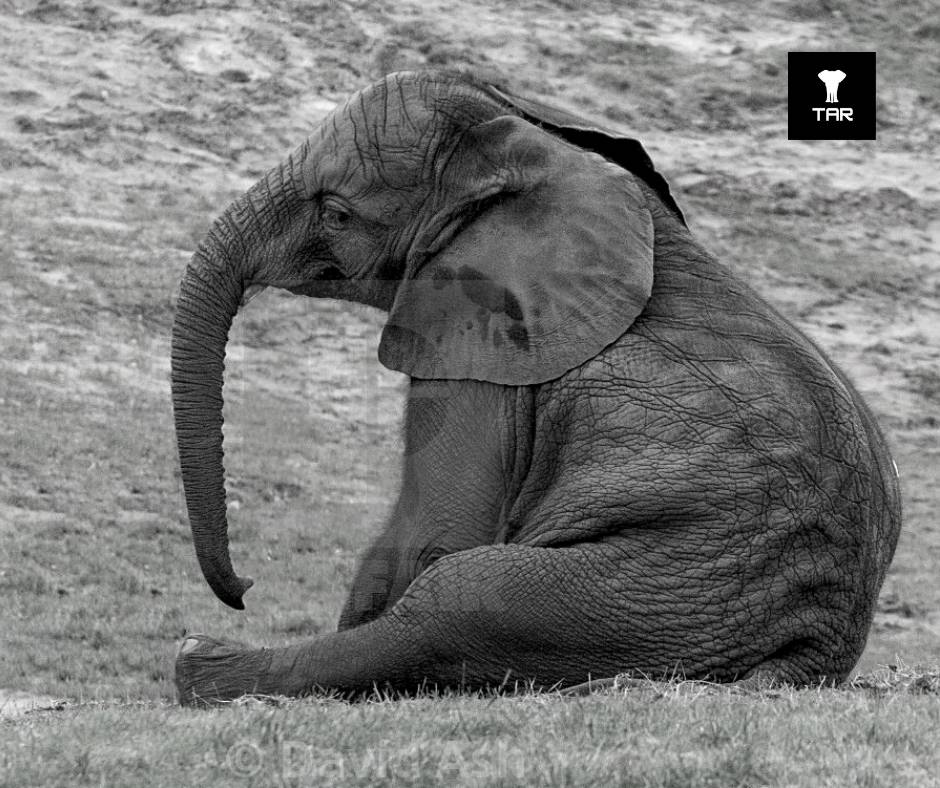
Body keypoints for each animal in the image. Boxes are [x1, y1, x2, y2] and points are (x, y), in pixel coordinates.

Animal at [171, 69, 902, 705]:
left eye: (338, 213)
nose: (244, 586)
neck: (532, 152)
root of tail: (806, 662)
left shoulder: (483, 356)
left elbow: (432, 538)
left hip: (659, 591)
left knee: (458, 596)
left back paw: (203, 663)